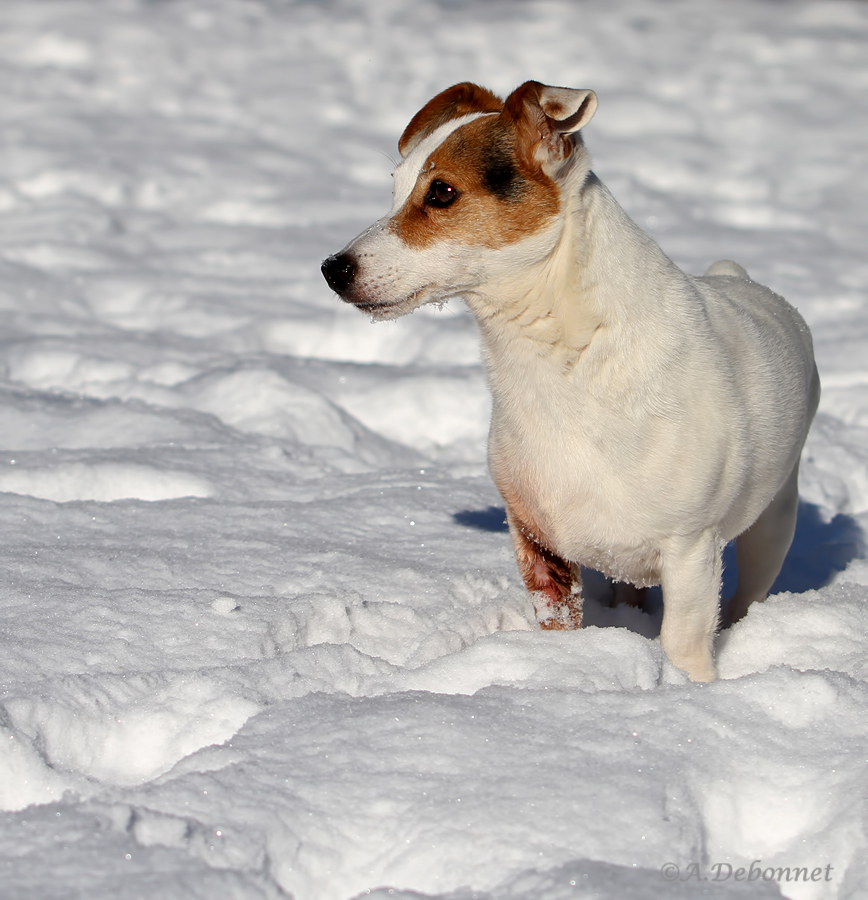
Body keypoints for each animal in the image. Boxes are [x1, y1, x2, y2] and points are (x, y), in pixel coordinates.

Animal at [324, 82, 820, 684]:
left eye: (441, 192)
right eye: (394, 187)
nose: (332, 268)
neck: (565, 363)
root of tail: (741, 281)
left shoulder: (692, 552)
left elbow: (683, 642)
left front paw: (688, 690)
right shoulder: (539, 542)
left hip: (773, 523)